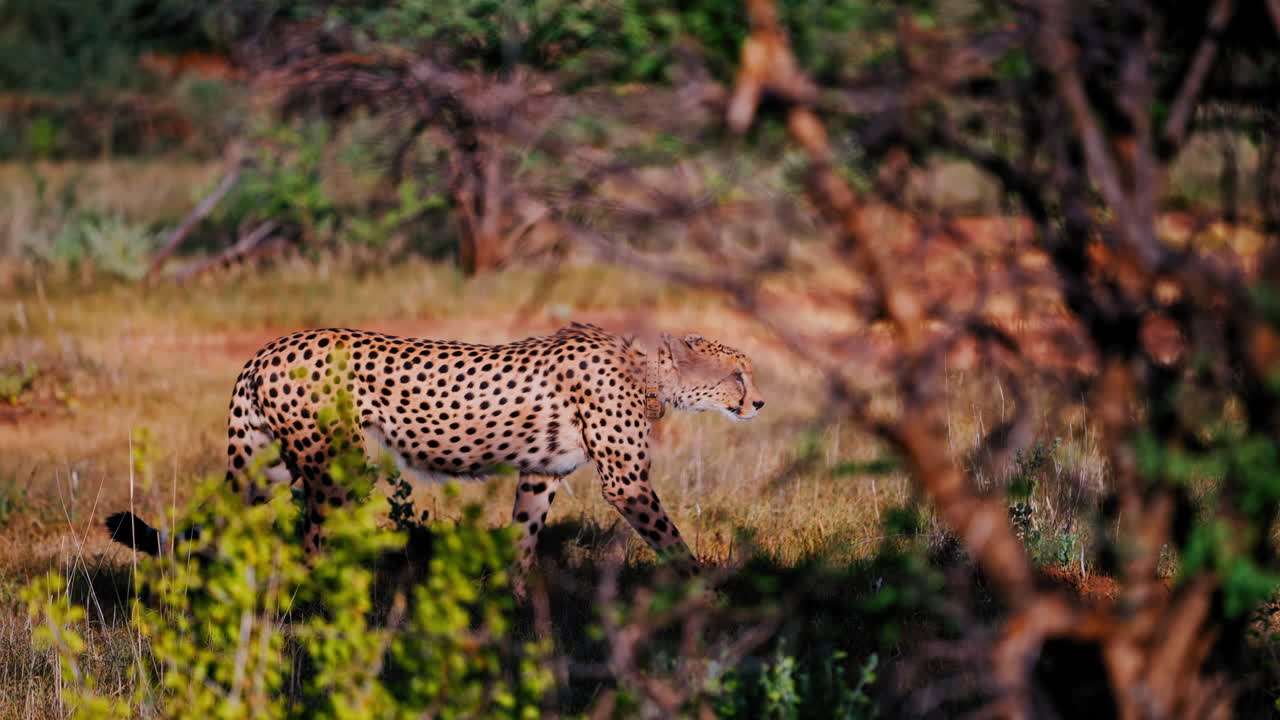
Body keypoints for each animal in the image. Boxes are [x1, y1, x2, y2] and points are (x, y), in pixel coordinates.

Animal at [108, 322, 764, 578]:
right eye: (737, 374)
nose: (758, 404)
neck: (645, 372)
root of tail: (268, 349)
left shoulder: (540, 473)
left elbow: (522, 539)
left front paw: (511, 611)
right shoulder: (625, 482)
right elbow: (673, 544)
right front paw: (708, 597)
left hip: (265, 467)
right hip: (336, 468)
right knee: (313, 544)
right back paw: (320, 615)